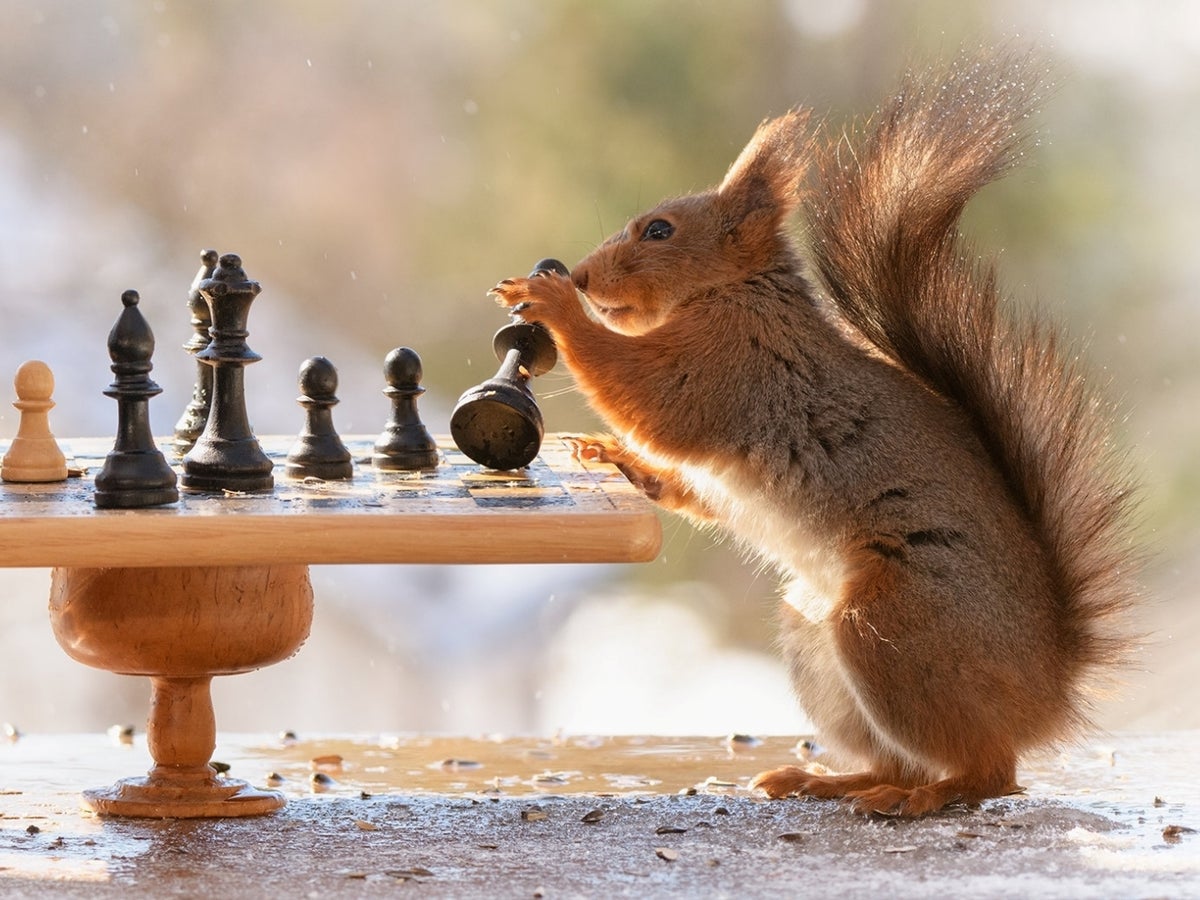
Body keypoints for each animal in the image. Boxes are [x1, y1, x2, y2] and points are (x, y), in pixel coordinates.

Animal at [490, 51, 1139, 817]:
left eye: (659, 231)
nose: (586, 277)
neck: (735, 291)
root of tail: (1048, 692)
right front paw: (609, 453)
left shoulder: (729, 362)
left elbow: (646, 395)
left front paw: (554, 302)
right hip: (815, 637)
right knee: (902, 761)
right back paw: (831, 779)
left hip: (893, 630)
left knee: (990, 771)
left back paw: (923, 796)